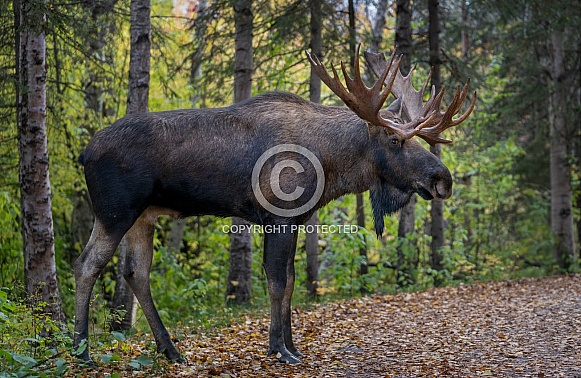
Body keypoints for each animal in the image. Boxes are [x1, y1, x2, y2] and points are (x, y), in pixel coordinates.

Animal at [72, 45, 474, 364]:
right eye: (394, 140)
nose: (443, 179)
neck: (330, 165)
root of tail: (84, 153)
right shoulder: (277, 217)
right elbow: (278, 281)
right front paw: (280, 349)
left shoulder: (297, 220)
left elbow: (293, 280)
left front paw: (291, 345)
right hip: (115, 211)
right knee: (87, 264)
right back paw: (82, 351)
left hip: (144, 216)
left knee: (135, 273)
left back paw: (170, 350)